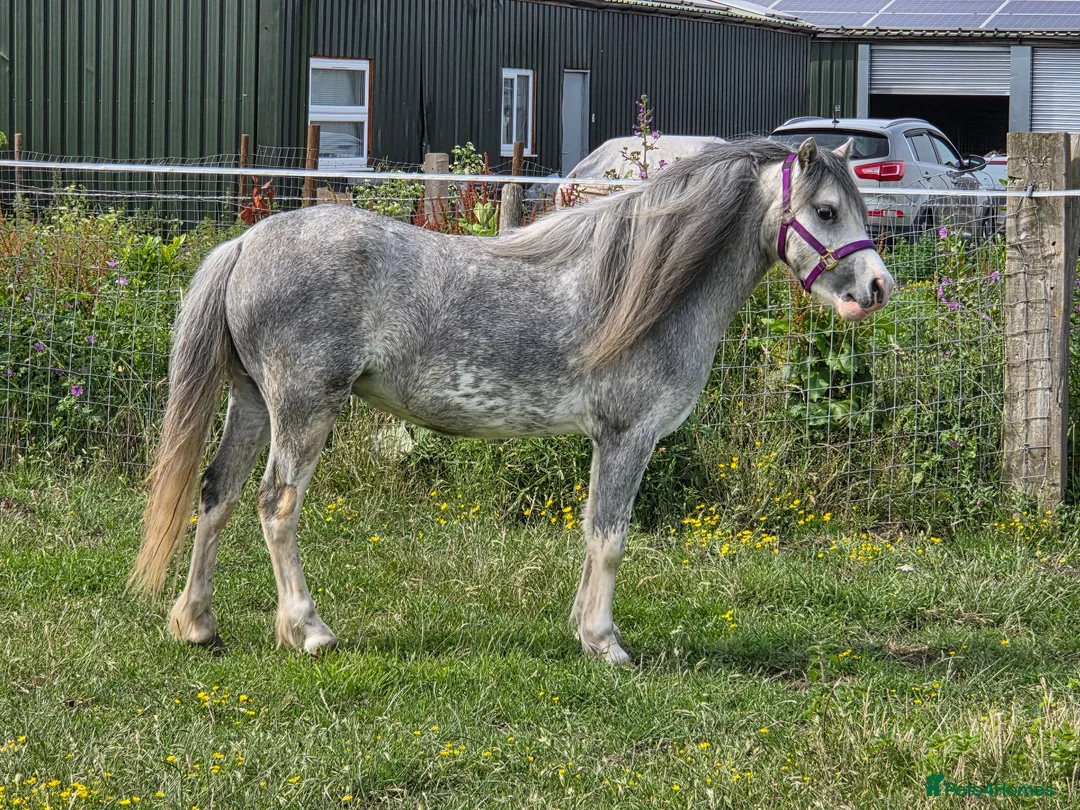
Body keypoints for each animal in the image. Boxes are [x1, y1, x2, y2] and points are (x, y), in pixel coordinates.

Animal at [130, 137, 894, 665]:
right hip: (303, 409)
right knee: (276, 506)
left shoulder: (608, 442)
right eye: (826, 211)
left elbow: (592, 534)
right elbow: (610, 537)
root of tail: (246, 241)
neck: (641, 290)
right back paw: (308, 630)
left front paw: (584, 630)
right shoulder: (627, 436)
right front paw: (605, 643)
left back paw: (198, 624)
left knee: (217, 494)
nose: (878, 287)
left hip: (253, 404)